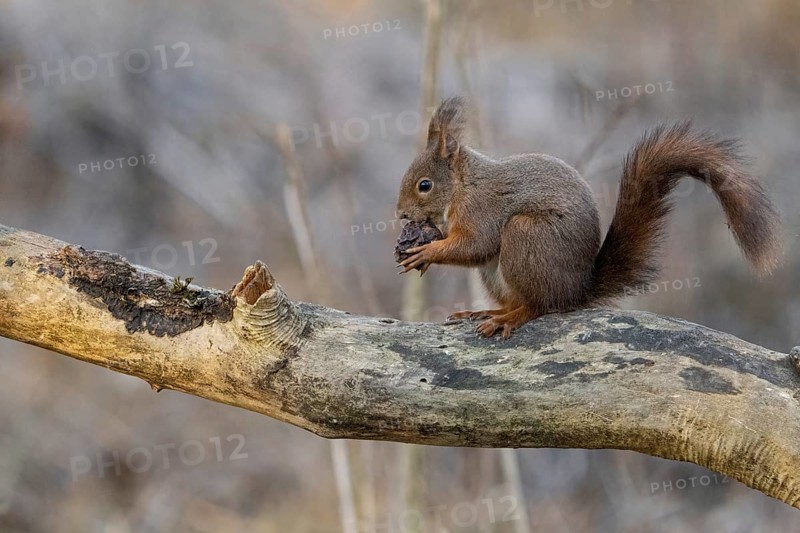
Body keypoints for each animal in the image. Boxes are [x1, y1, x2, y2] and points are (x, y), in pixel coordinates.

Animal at [396, 96, 782, 338]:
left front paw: (425, 252)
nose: (400, 214)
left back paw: (508, 319)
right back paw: (488, 313)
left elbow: (475, 244)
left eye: (424, 185)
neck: (462, 186)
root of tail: (575, 290)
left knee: (537, 306)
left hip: (525, 235)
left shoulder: (482, 209)